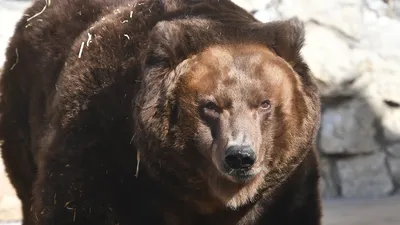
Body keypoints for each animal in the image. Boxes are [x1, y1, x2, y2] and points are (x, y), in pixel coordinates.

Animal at [0, 0, 322, 225]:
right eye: (210, 106)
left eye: (264, 103)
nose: (240, 156)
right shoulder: (103, 145)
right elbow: (76, 205)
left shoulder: (283, 191)